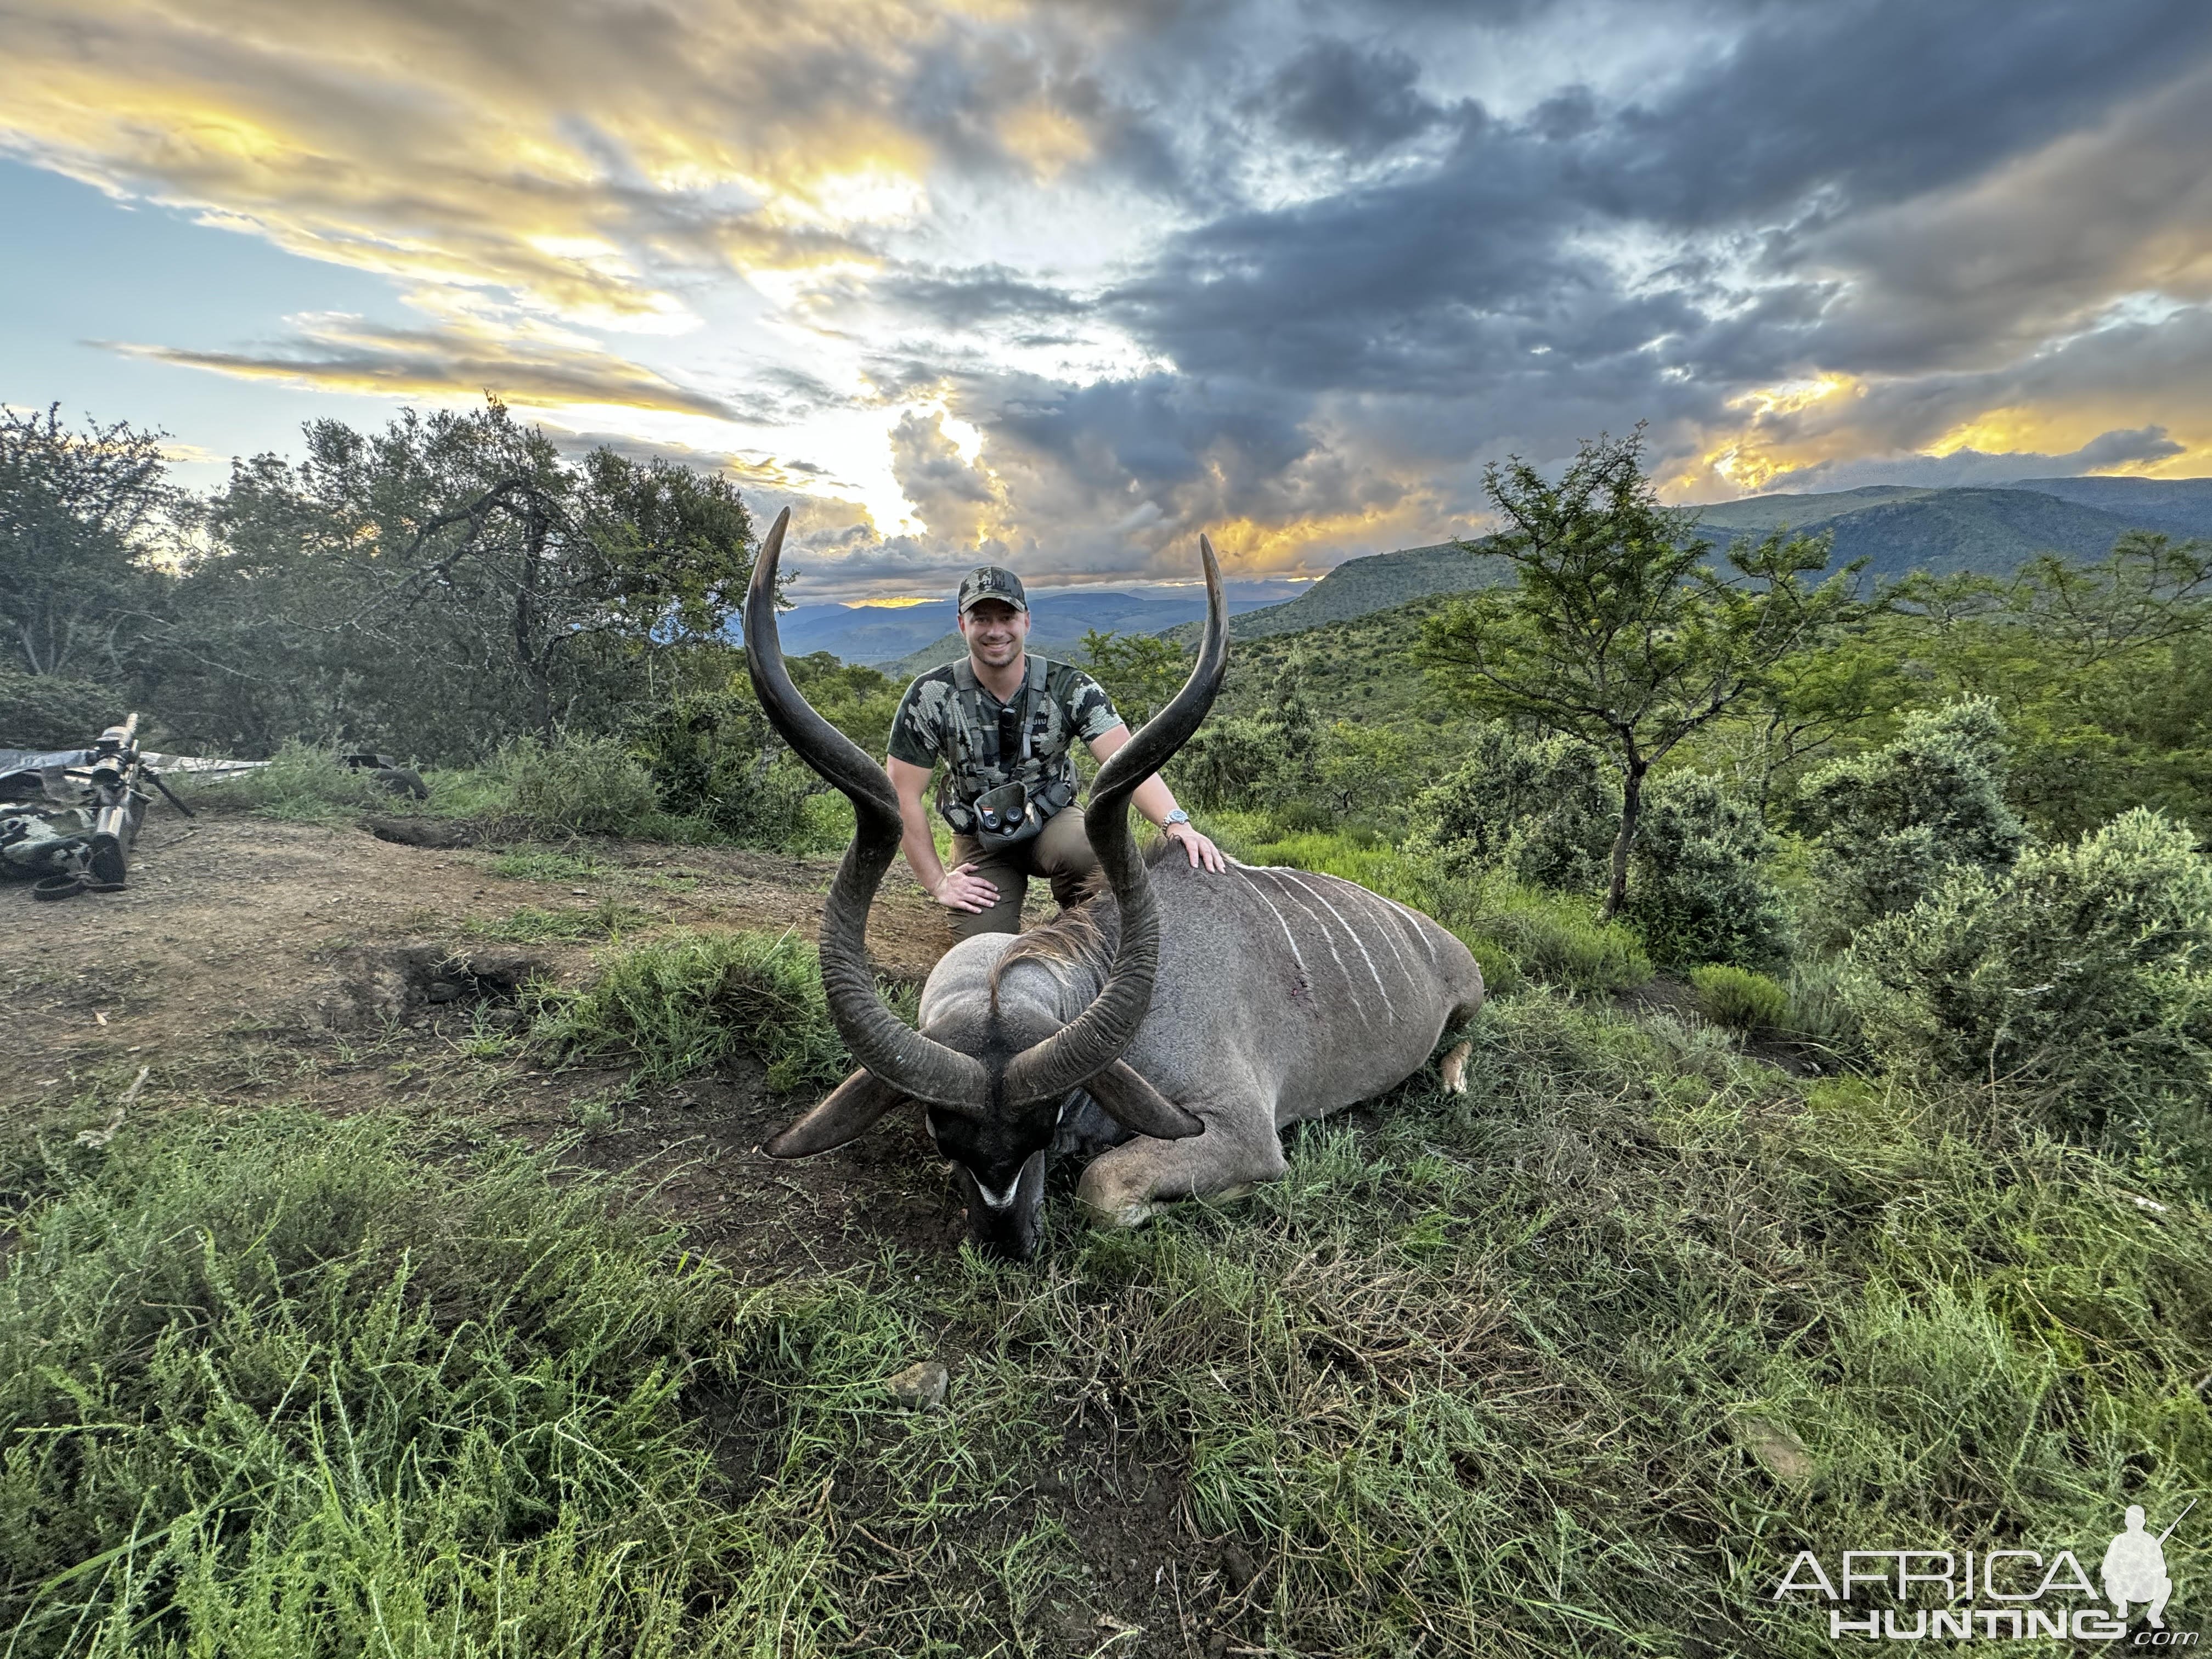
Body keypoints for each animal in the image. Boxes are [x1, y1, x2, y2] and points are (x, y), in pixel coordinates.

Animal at [743, 511, 1486, 1256]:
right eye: (941, 1135)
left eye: (1042, 1129)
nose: (1008, 1245)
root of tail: (1443, 941)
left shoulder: (1244, 1129)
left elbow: (1104, 1188)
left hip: (1469, 1008)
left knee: (1462, 1042)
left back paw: (1453, 1080)